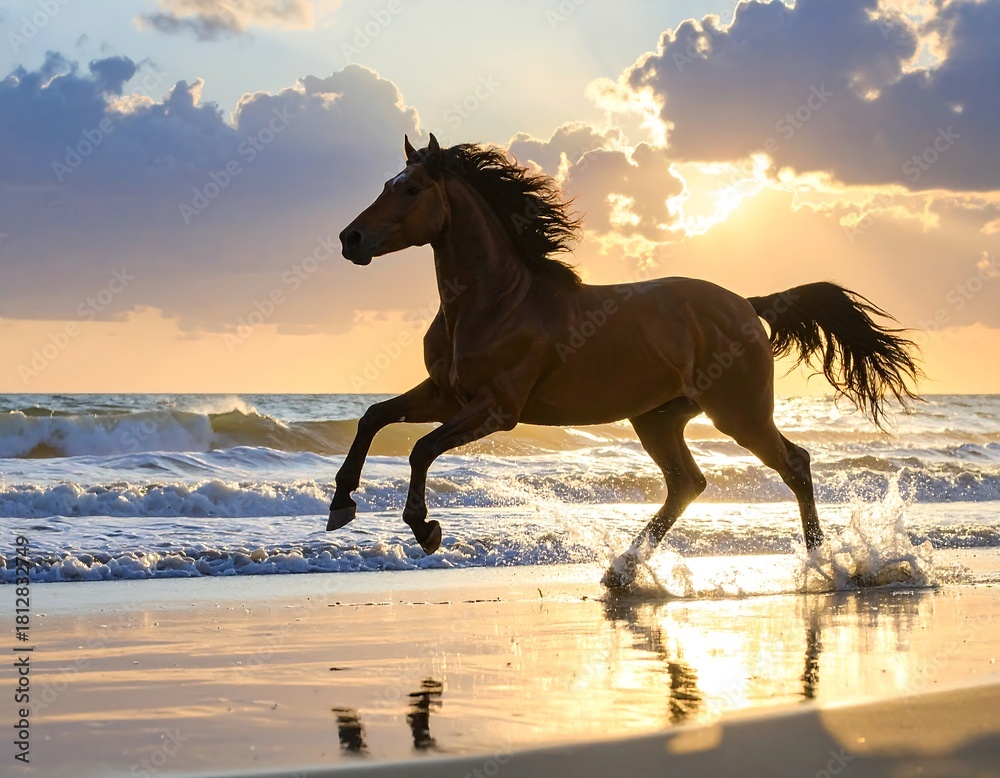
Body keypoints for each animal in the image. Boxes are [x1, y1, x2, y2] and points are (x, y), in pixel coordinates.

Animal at [328, 133, 920, 587]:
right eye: (385, 186)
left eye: (410, 189)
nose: (349, 238)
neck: (498, 301)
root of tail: (748, 305)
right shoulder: (445, 393)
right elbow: (373, 417)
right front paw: (341, 505)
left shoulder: (496, 408)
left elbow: (421, 449)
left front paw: (425, 528)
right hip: (657, 418)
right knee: (687, 484)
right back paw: (623, 570)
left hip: (738, 413)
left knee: (793, 464)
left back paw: (826, 566)